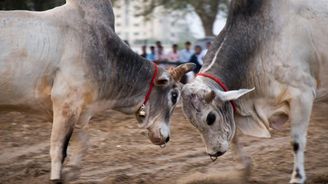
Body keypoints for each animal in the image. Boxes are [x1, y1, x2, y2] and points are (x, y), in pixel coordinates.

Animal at [0, 0, 195, 181]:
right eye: (174, 96)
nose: (167, 138)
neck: (106, 53)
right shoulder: (66, 103)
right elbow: (58, 151)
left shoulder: (67, 110)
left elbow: (83, 141)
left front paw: (71, 173)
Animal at [182, 0, 328, 184]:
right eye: (192, 122)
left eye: (210, 118)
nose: (213, 153)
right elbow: (234, 136)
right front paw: (244, 169)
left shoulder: (302, 95)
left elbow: (297, 141)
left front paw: (297, 177)